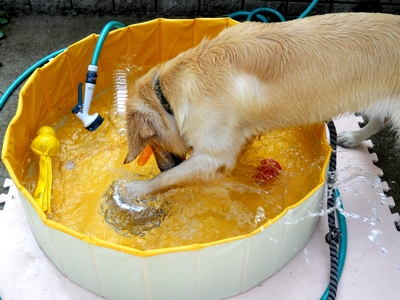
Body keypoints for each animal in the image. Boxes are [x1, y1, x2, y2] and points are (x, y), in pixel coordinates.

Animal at [123, 12, 398, 195]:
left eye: (151, 142)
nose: (160, 167)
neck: (167, 95)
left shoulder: (214, 155)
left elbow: (170, 178)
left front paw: (139, 188)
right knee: (379, 120)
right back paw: (353, 137)